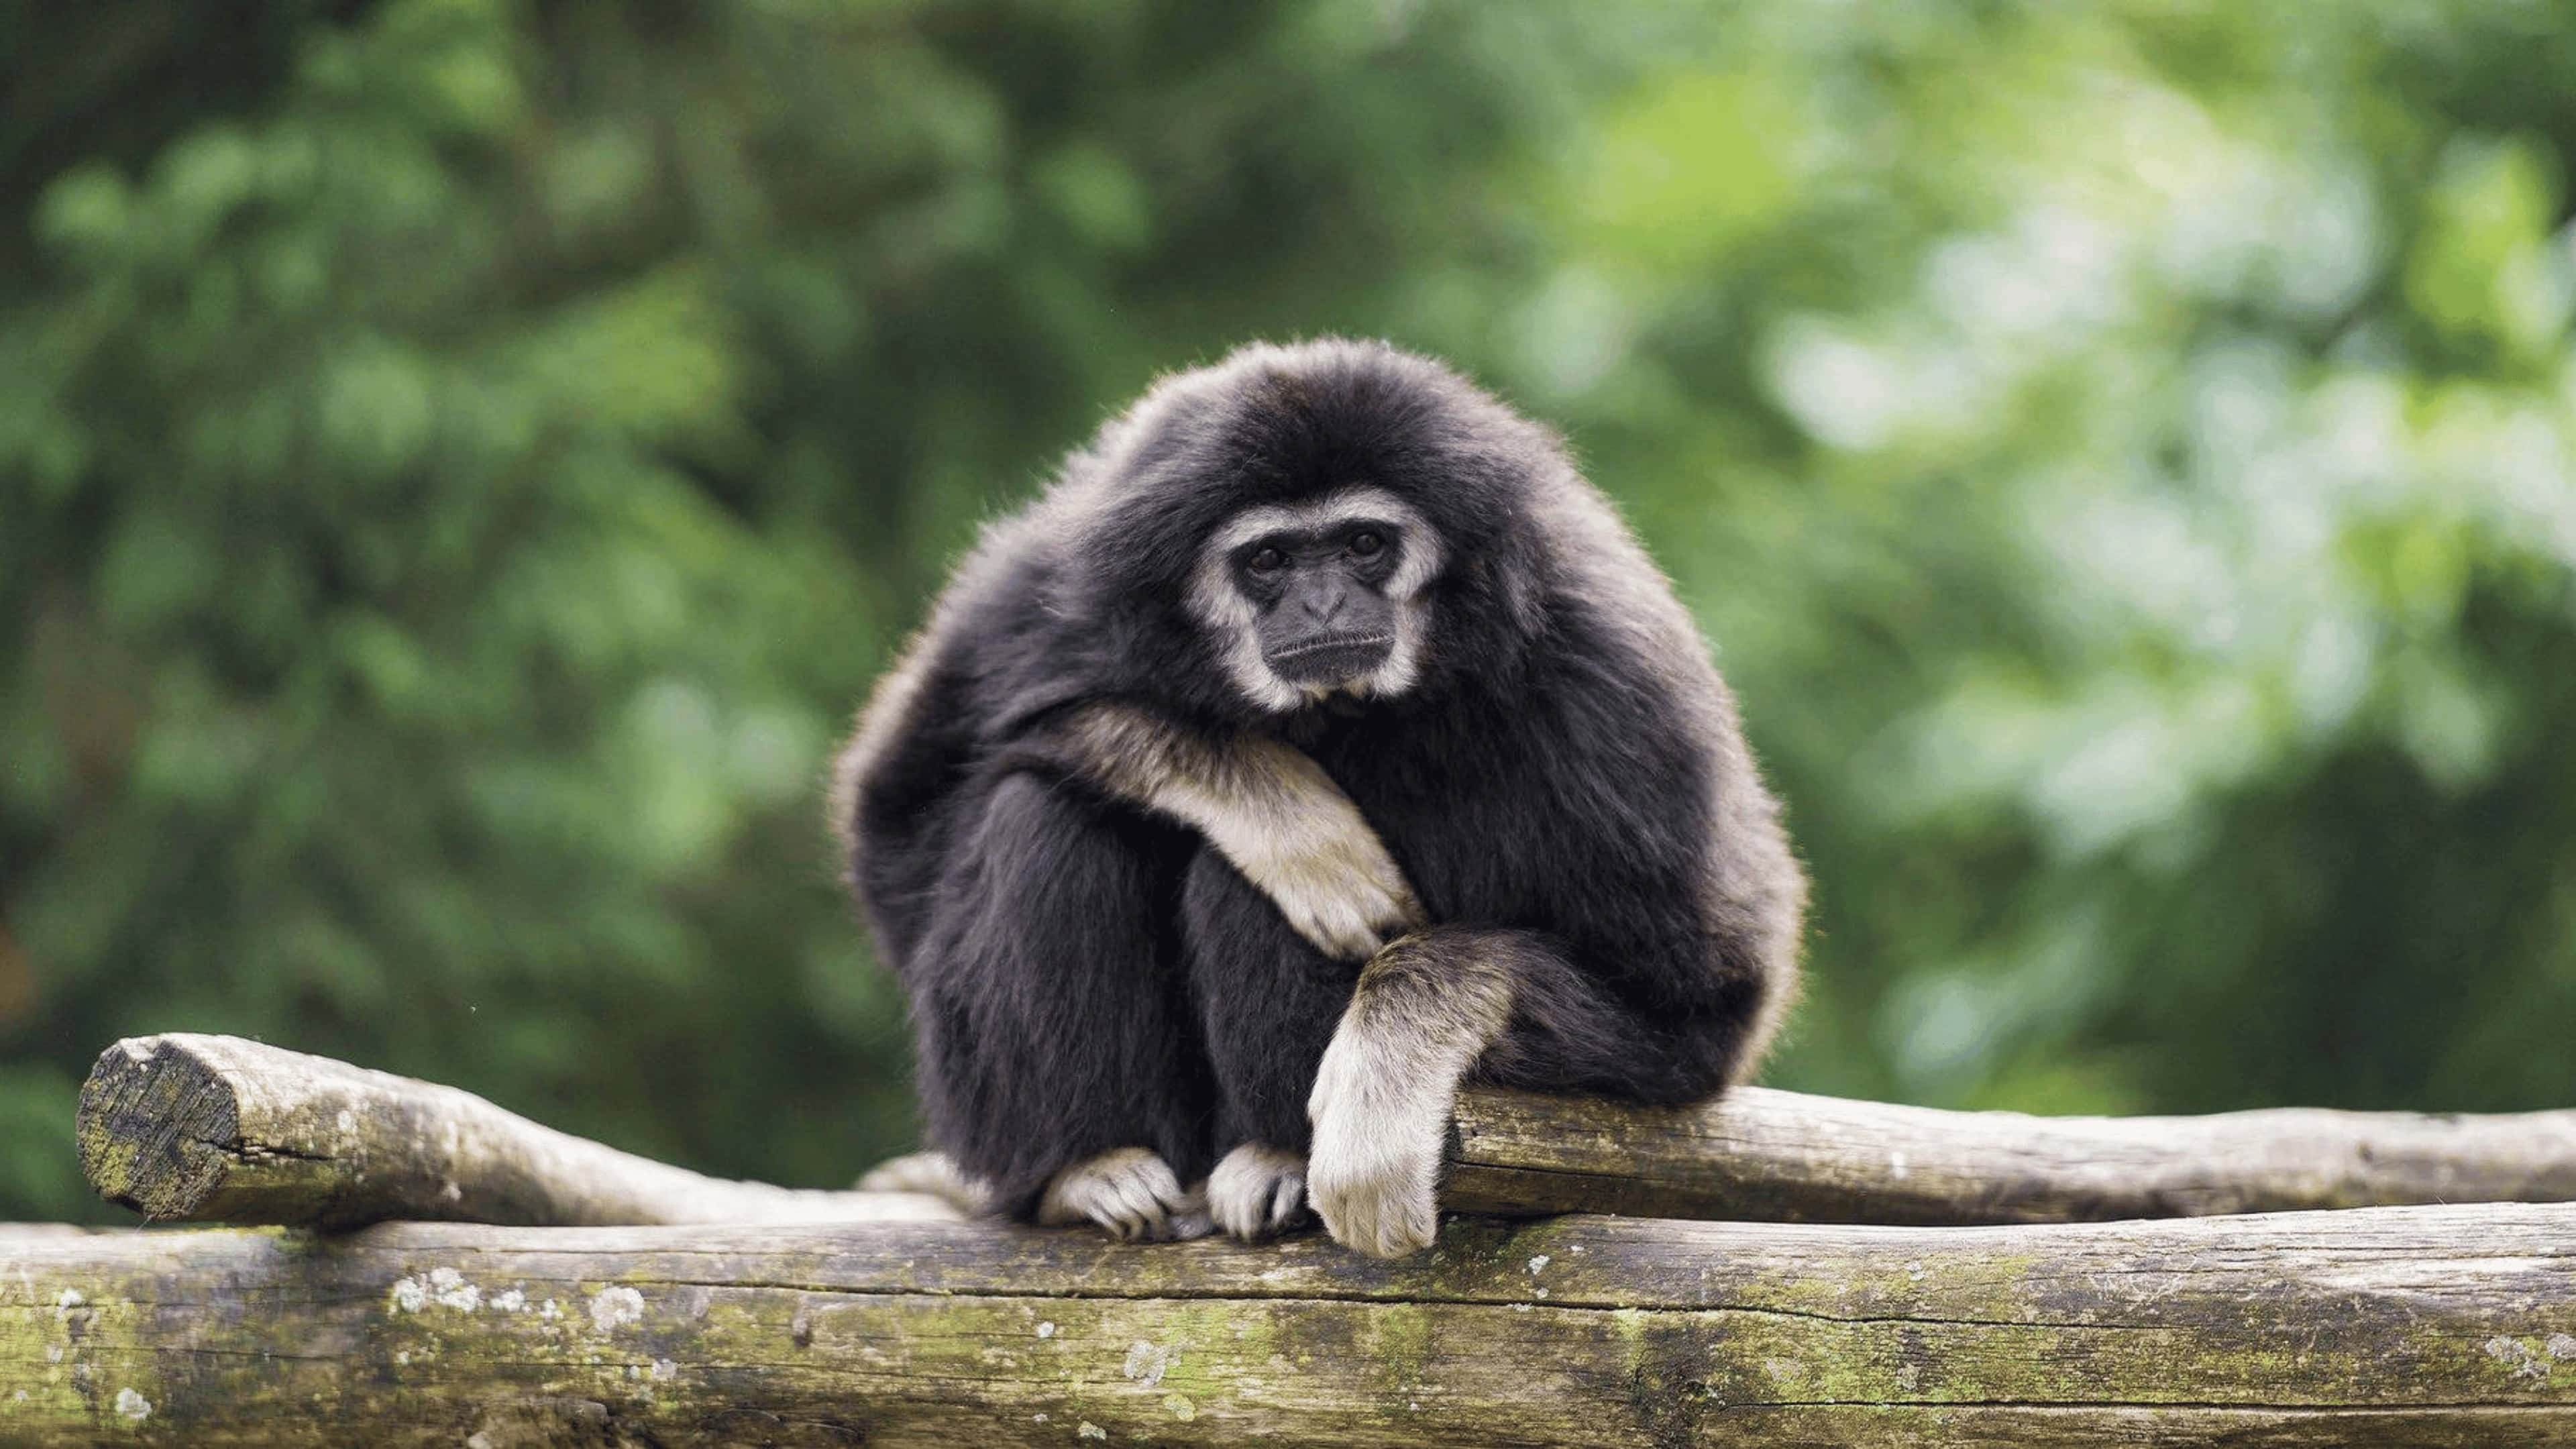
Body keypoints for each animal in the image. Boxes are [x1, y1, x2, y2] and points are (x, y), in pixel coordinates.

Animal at [831, 338, 1805, 1257]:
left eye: (1366, 544)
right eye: (1269, 559)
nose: (1325, 603)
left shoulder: (1613, 682)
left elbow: (1690, 1013)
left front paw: (1388, 1066)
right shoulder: (1038, 587)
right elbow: (902, 824)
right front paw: (1288, 815)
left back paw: (1275, 1157)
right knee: (1040, 810)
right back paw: (1085, 1168)